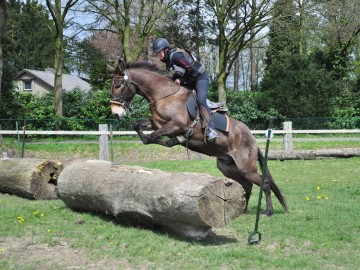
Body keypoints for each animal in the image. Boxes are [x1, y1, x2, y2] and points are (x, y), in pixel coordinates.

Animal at [108, 59, 288, 215]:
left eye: (117, 85)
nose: (115, 114)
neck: (165, 95)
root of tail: (252, 139)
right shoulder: (157, 123)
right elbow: (140, 129)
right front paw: (173, 140)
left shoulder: (177, 125)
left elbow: (152, 137)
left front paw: (174, 140)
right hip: (227, 166)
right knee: (247, 184)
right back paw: (242, 210)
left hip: (245, 167)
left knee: (264, 183)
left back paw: (268, 211)